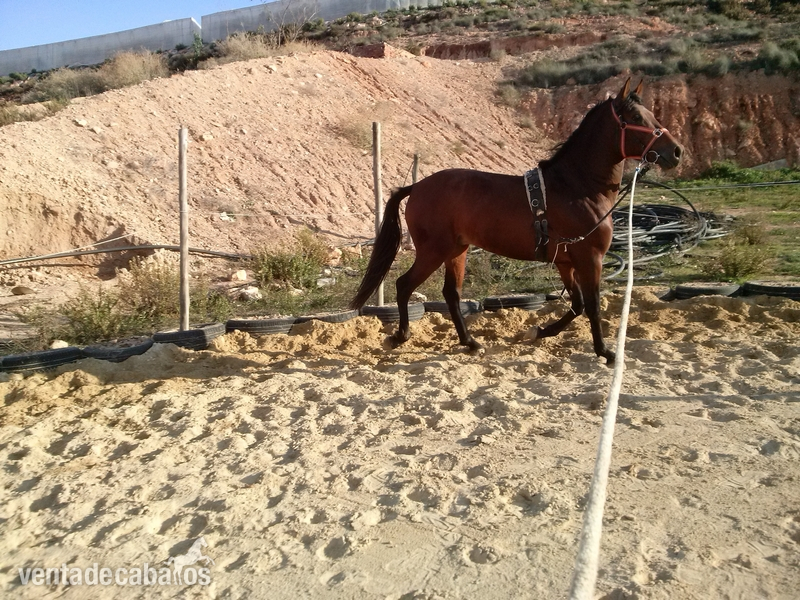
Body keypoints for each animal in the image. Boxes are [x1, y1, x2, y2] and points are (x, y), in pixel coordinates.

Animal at [351, 79, 683, 364]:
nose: (676, 152)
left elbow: (576, 305)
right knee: (405, 285)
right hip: (434, 251)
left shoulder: (566, 262)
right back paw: (401, 336)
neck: (577, 188)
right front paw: (605, 352)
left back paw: (470, 342)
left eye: (652, 114)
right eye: (637, 117)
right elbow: (591, 304)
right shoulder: (590, 259)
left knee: (451, 294)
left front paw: (541, 331)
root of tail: (417, 186)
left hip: (457, 251)